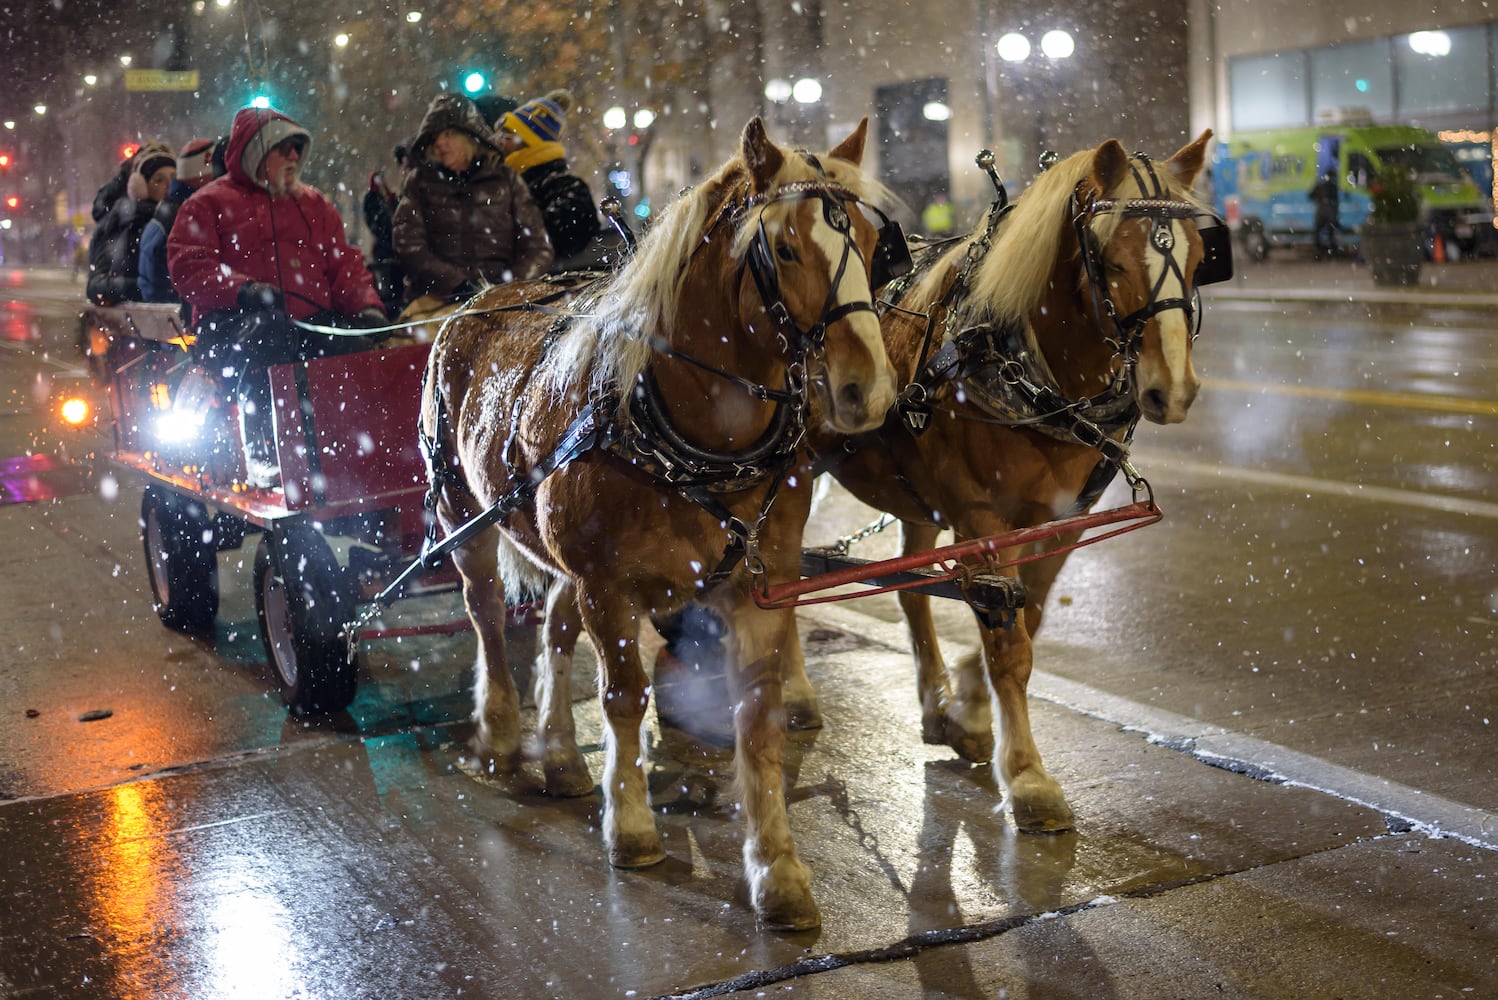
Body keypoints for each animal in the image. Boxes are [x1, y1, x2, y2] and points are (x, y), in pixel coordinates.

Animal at [416, 117, 892, 928]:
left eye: (864, 237)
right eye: (785, 247)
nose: (871, 390)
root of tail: (479, 299)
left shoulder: (761, 584)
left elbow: (756, 715)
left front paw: (777, 870)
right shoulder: (608, 583)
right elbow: (623, 697)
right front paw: (632, 825)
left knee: (554, 627)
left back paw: (561, 755)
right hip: (466, 517)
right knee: (487, 614)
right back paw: (504, 733)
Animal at [790, 134, 1210, 838]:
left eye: (1203, 257)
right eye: (1112, 261)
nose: (1172, 390)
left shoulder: (1061, 521)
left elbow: (1025, 621)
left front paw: (968, 704)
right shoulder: (983, 518)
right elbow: (1007, 644)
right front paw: (1029, 778)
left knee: (912, 588)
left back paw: (936, 703)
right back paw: (791, 691)